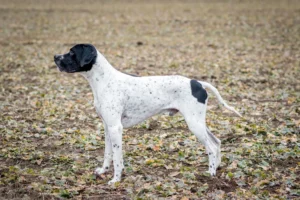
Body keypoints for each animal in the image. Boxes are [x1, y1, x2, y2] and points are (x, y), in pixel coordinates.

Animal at [54, 43, 241, 184]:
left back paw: (210, 173)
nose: (55, 57)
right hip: (198, 123)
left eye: (72, 52)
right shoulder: (108, 127)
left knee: (211, 148)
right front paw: (103, 171)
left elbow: (117, 158)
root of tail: (197, 83)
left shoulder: (116, 128)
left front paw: (116, 180)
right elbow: (108, 154)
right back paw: (217, 167)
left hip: (194, 124)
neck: (104, 81)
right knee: (216, 142)